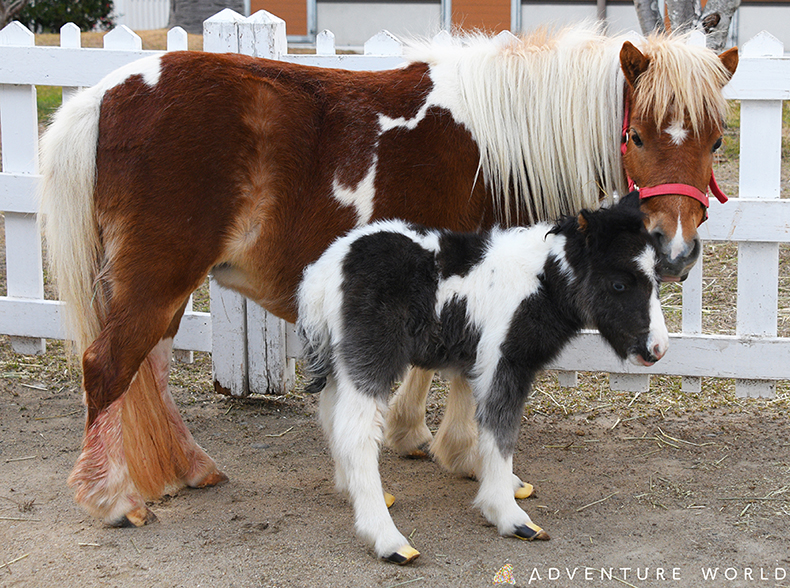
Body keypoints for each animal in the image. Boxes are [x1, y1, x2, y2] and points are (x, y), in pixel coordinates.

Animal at [40, 25, 736, 524]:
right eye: (638, 135)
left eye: (716, 140)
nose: (676, 250)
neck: (499, 143)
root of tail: (107, 94)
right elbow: (463, 377)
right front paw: (469, 458)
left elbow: (435, 365)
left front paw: (414, 438)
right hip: (159, 274)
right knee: (109, 366)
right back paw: (114, 500)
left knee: (149, 368)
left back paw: (186, 468)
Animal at [296, 194, 668, 564]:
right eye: (619, 283)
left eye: (657, 280)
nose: (658, 348)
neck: (540, 281)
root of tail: (324, 272)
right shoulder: (504, 361)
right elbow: (501, 431)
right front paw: (509, 515)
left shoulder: (477, 362)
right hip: (372, 353)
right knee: (355, 433)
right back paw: (388, 539)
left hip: (341, 360)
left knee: (331, 416)